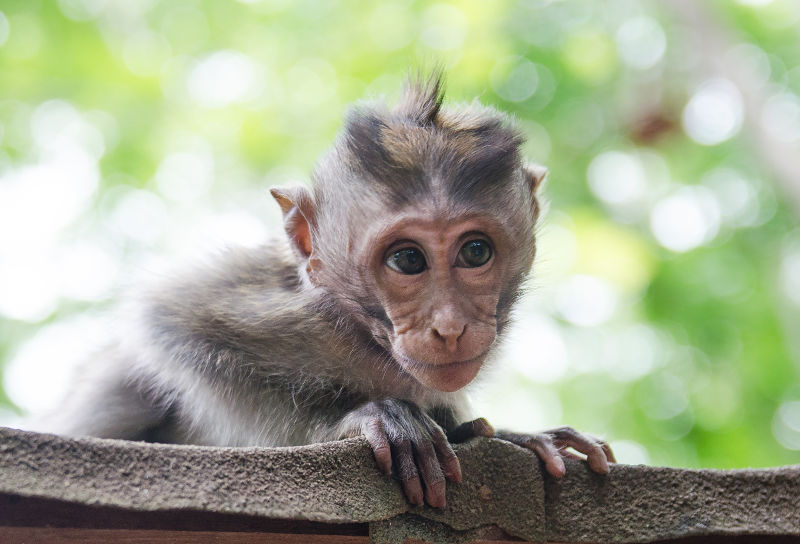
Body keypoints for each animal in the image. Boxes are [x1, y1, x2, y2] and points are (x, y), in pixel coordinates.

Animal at [34, 74, 616, 508]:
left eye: (475, 252)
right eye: (408, 260)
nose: (450, 326)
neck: (364, 335)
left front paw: (516, 436)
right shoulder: (289, 313)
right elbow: (168, 322)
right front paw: (360, 421)